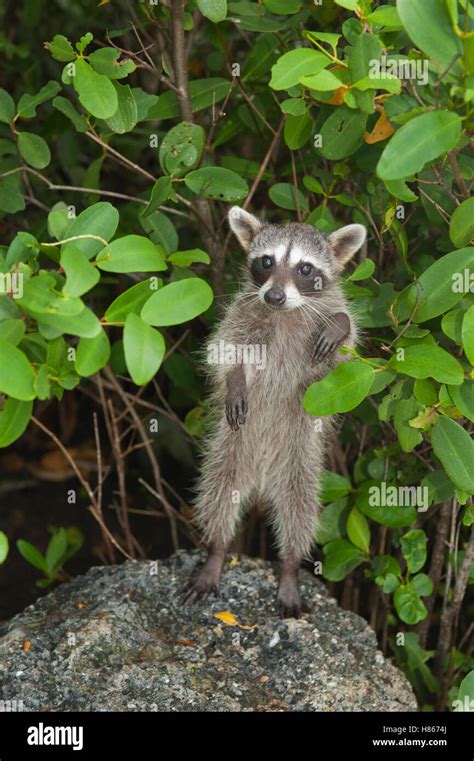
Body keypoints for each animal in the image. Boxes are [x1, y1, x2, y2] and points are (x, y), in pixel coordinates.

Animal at [182, 205, 366, 616]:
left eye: (305, 268)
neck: (285, 312)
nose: (276, 295)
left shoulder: (327, 354)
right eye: (267, 261)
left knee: (300, 510)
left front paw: (341, 324)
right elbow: (225, 351)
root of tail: (263, 479)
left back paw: (289, 567)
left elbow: (346, 347)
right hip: (231, 448)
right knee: (218, 493)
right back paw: (216, 551)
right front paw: (236, 380)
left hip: (301, 459)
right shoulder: (241, 315)